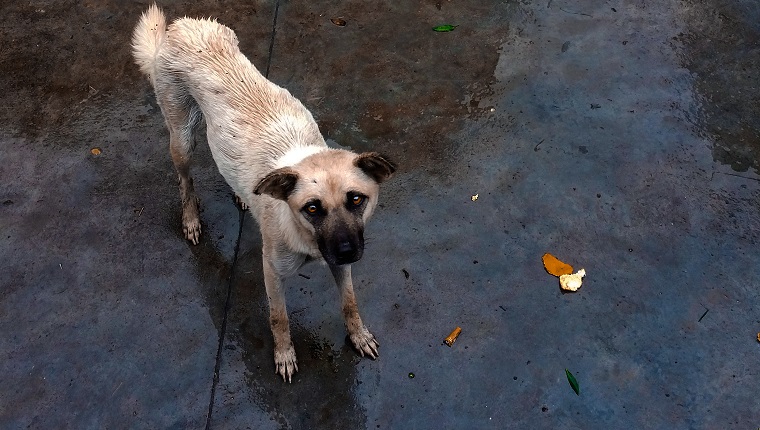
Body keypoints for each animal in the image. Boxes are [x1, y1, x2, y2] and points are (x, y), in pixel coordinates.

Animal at [133, 2, 398, 380]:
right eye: (312, 208)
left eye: (357, 199)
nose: (347, 251)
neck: (304, 236)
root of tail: (181, 26)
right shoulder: (272, 272)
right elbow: (279, 318)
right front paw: (284, 355)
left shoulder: (342, 261)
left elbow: (350, 301)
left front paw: (358, 335)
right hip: (181, 138)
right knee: (185, 181)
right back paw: (191, 218)